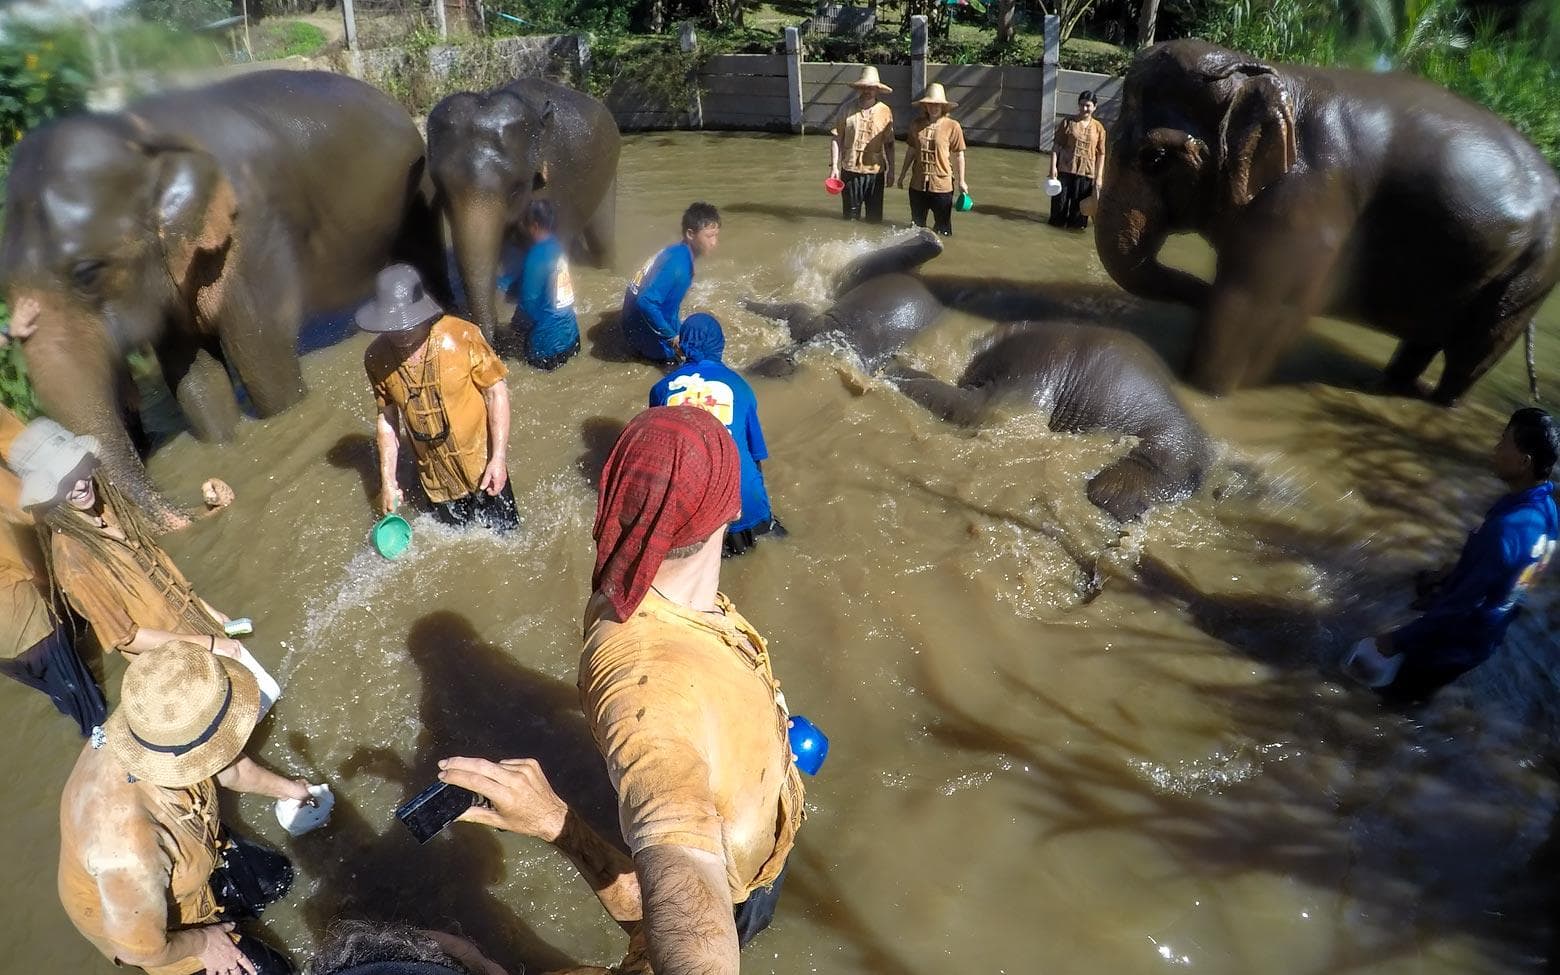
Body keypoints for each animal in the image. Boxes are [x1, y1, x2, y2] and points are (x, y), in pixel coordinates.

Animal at [0, 69, 443, 527]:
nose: (208, 499)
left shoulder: (254, 235)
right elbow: (195, 378)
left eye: (87, 274)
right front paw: (224, 441)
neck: (140, 136)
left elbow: (261, 362)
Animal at [430, 76, 624, 341]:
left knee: (602, 241)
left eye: (515, 189)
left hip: (608, 172)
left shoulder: (560, 181)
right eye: (441, 191)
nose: (492, 337)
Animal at [1098, 38, 1560, 402]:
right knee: (1425, 342)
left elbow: (1256, 307)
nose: (1200, 290)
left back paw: (1435, 400)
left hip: (1530, 277)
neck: (1269, 75)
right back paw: (1387, 386)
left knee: (1470, 358)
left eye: (1156, 158)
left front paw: (1201, 392)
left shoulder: (1309, 207)